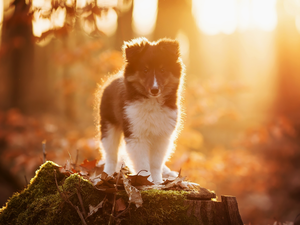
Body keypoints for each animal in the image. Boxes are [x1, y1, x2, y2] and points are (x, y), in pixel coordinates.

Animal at [101, 37, 184, 184]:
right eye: (145, 70)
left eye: (162, 69)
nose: (155, 90)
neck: (152, 102)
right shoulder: (136, 134)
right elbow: (143, 164)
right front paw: (147, 181)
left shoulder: (162, 136)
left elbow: (156, 163)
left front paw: (158, 182)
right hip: (109, 126)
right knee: (111, 154)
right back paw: (108, 174)